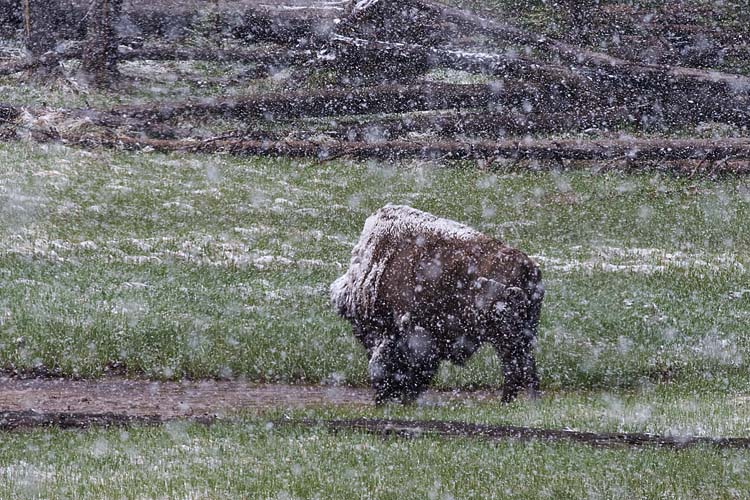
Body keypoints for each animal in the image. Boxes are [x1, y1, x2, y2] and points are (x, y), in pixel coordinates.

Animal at [332, 203, 544, 402]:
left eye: (367, 338)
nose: (382, 400)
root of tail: (528, 266)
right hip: (522, 333)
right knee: (525, 368)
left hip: (505, 336)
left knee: (516, 369)